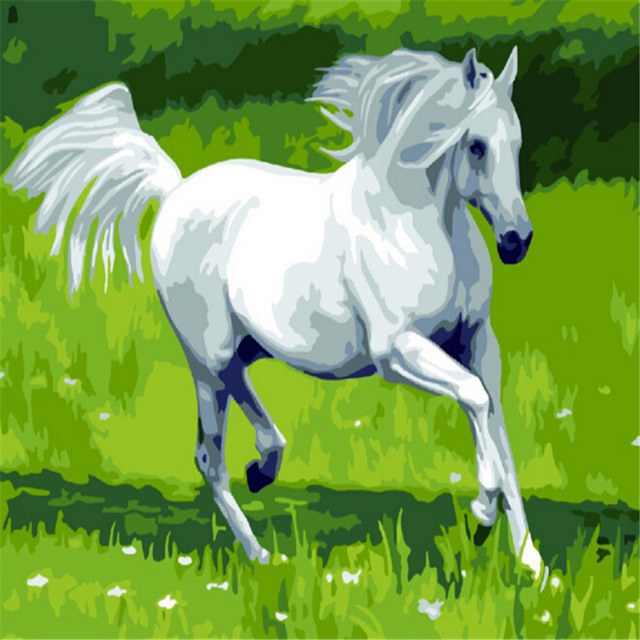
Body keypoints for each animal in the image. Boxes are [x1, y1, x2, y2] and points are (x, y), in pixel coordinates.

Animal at [6, 46, 545, 580]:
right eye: (476, 146)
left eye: (517, 141)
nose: (517, 242)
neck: (414, 224)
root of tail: (174, 191)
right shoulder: (396, 350)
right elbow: (474, 400)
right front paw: (481, 514)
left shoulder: (478, 343)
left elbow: (499, 432)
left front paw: (532, 565)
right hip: (206, 358)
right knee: (209, 457)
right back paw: (260, 552)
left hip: (239, 350)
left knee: (245, 407)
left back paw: (264, 472)